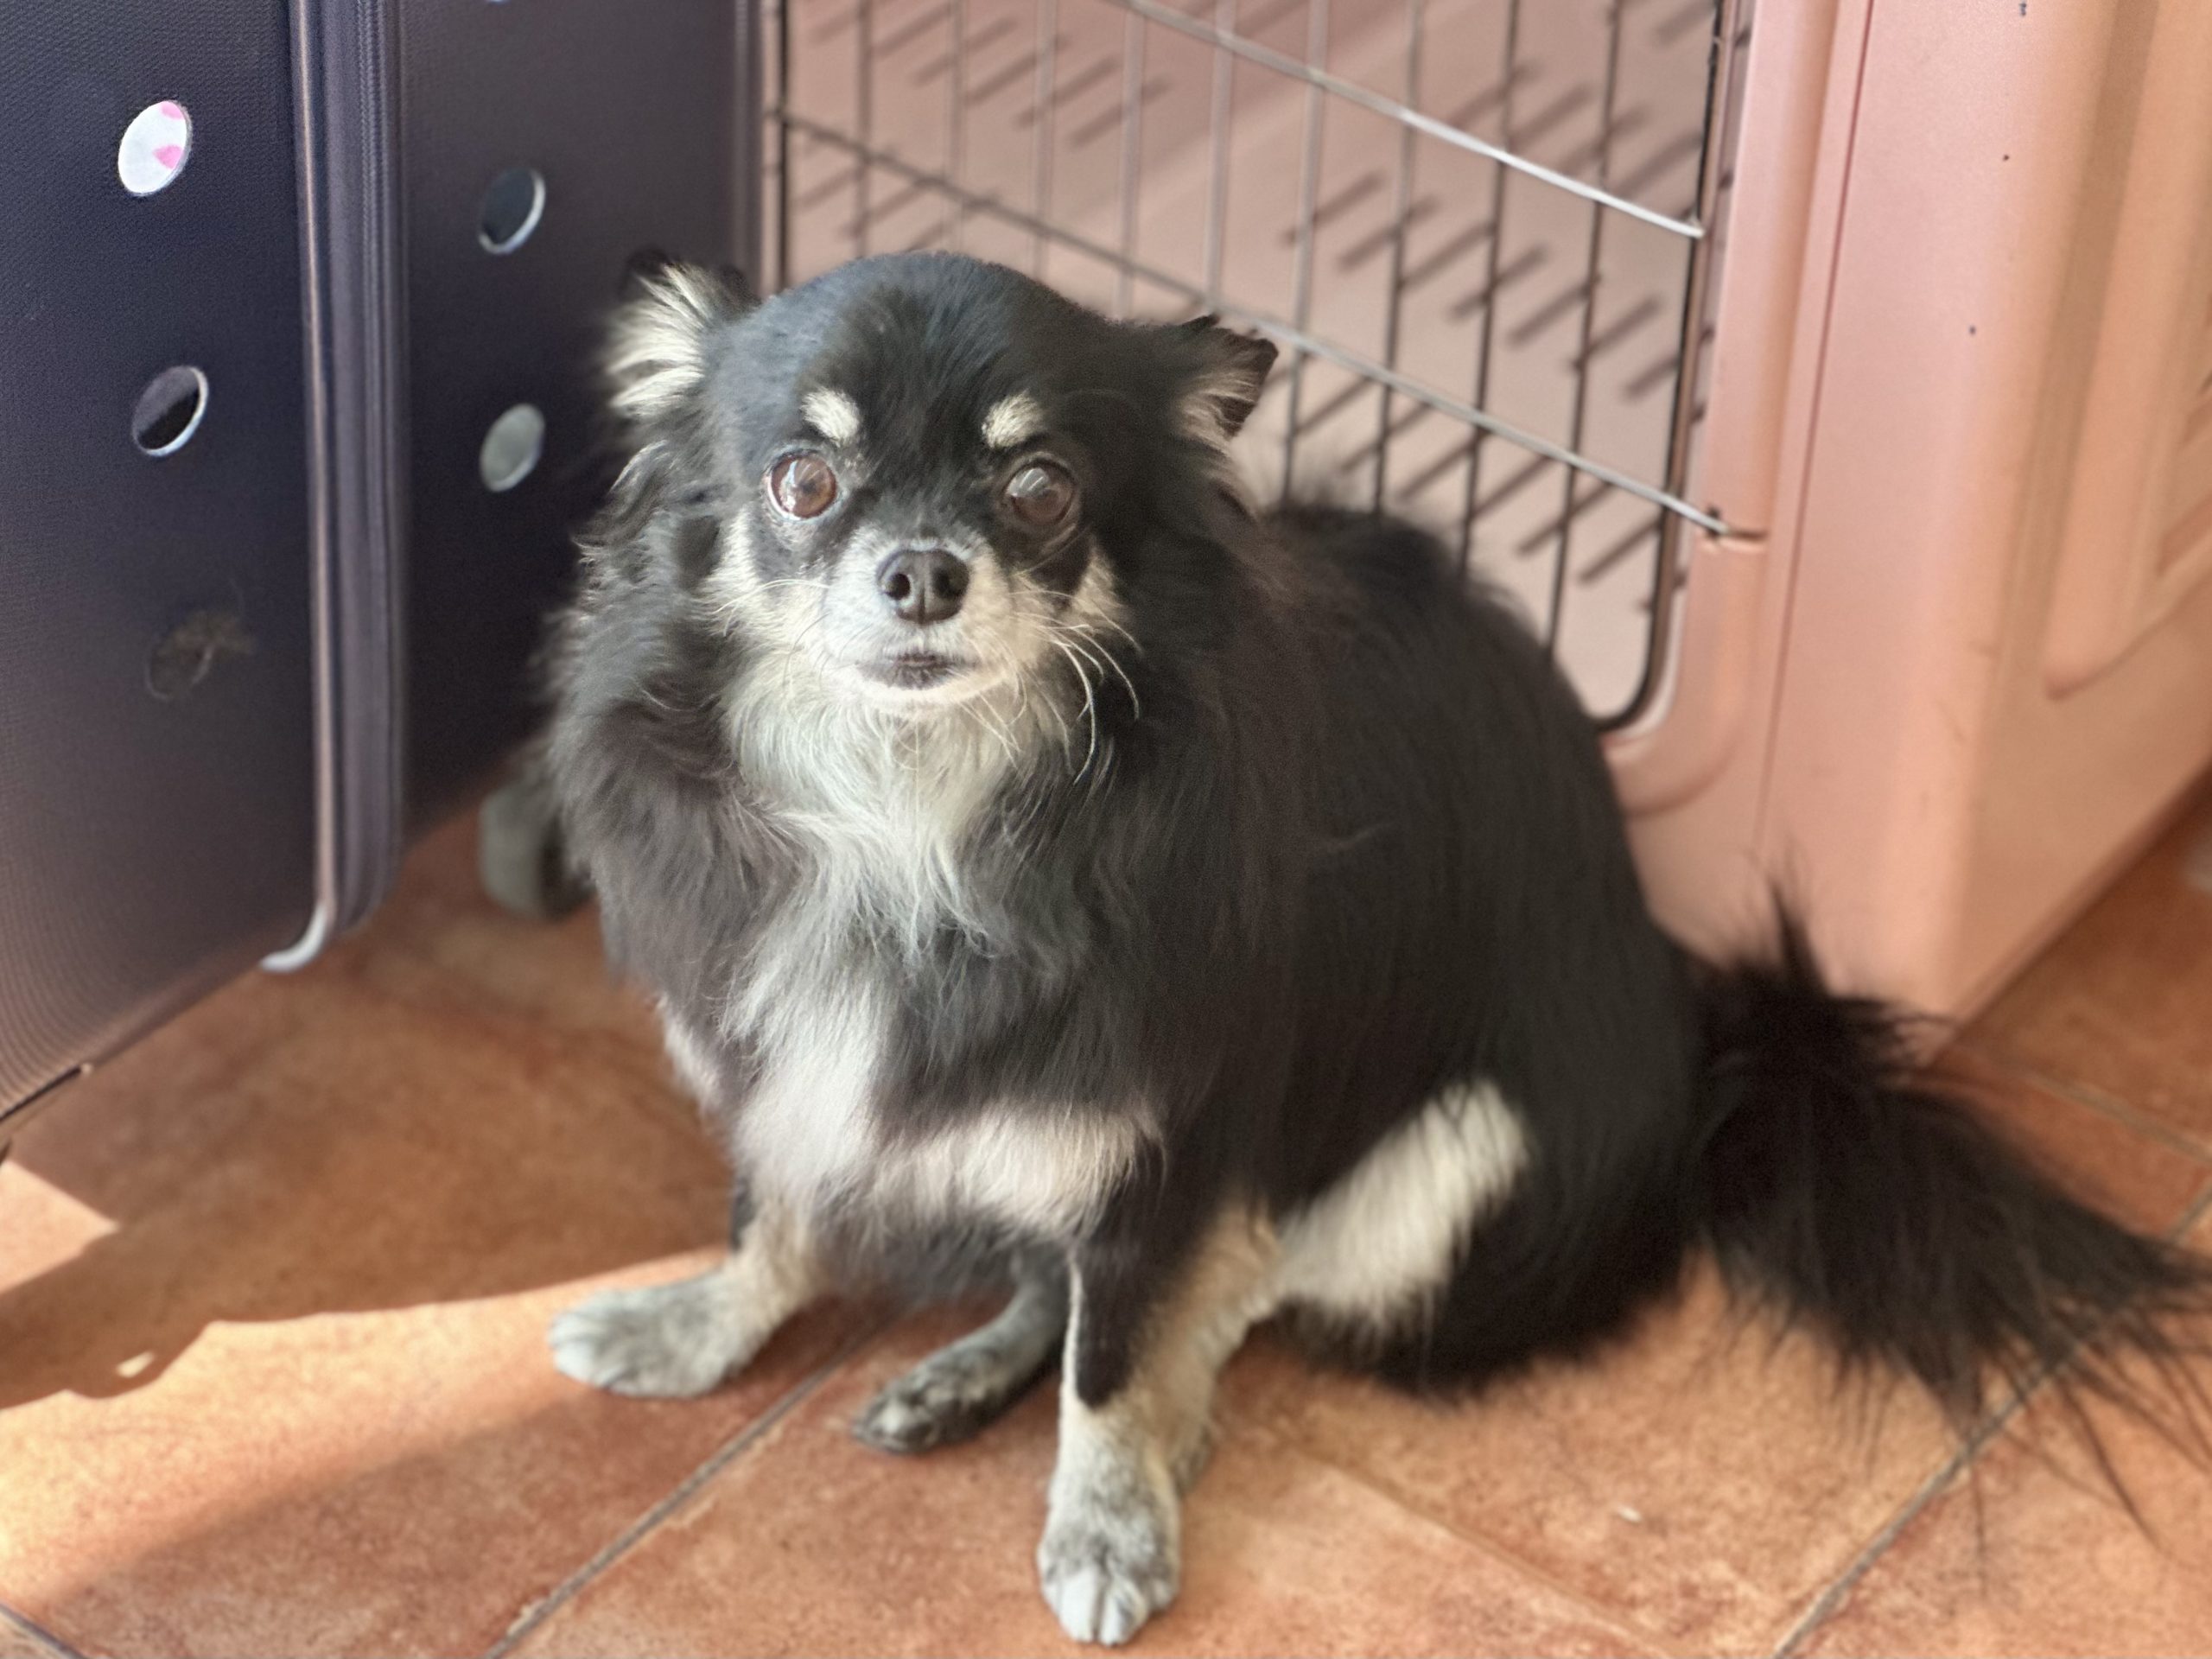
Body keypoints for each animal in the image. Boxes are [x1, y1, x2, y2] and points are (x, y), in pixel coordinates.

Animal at [536, 250, 2207, 1646]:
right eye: (805, 481)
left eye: (1040, 491)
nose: (923, 572)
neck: (914, 812)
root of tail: (1707, 1034)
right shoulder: (785, 1064)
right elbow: (774, 1213)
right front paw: (696, 1326)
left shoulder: (1166, 1135)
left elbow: (1119, 1351)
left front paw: (1107, 1516)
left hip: (1449, 1169)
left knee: (1245, 1278)